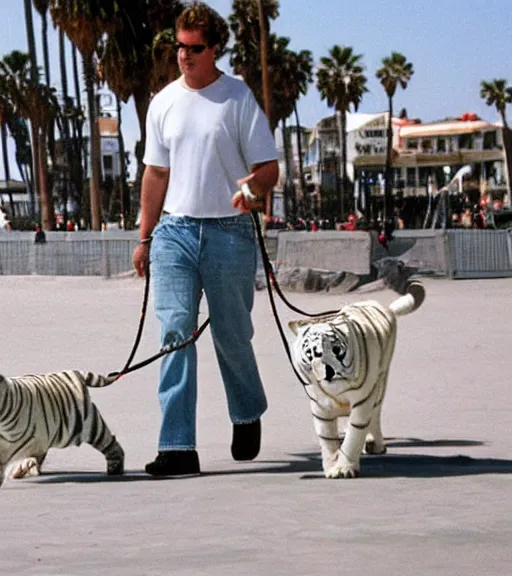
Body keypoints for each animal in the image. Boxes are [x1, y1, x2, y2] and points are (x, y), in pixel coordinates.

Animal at [288, 282, 424, 480]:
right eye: (312, 353)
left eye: (336, 350)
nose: (329, 372)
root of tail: (384, 308)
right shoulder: (320, 406)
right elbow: (327, 439)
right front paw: (331, 468)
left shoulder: (363, 399)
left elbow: (354, 434)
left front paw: (344, 468)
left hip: (381, 380)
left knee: (375, 414)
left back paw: (375, 444)